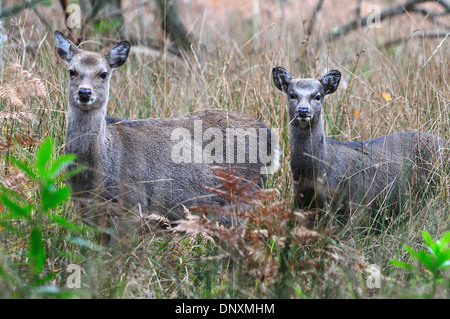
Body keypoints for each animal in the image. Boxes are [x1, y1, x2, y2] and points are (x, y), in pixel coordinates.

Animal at [54, 30, 280, 245]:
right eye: (71, 71)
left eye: (103, 74)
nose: (84, 93)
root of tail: (271, 138)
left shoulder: (132, 209)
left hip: (239, 201)